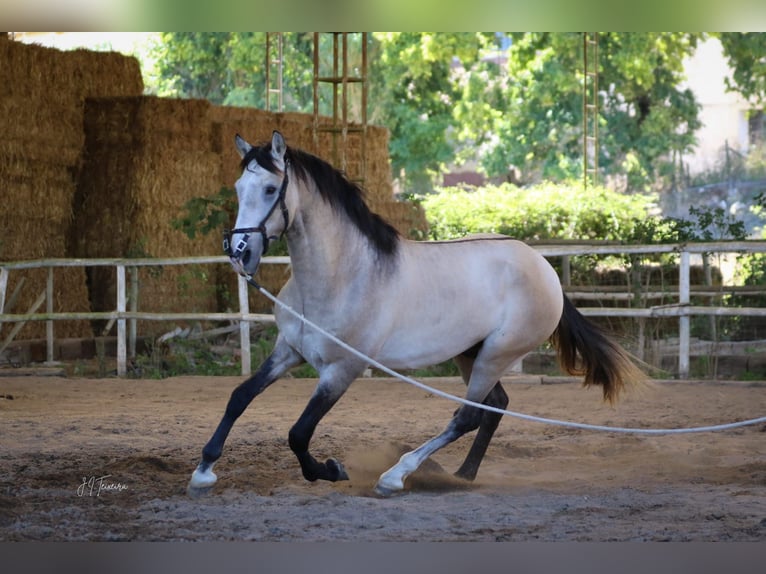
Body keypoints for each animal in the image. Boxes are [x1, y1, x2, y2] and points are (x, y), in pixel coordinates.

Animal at [189, 132, 644, 500]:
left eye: (270, 189)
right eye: (239, 187)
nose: (240, 252)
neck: (343, 275)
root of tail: (543, 267)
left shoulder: (342, 370)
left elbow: (298, 433)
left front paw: (332, 470)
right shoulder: (289, 351)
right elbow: (240, 397)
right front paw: (203, 471)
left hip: (496, 354)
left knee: (468, 416)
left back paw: (396, 477)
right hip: (471, 353)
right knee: (494, 407)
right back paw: (462, 475)